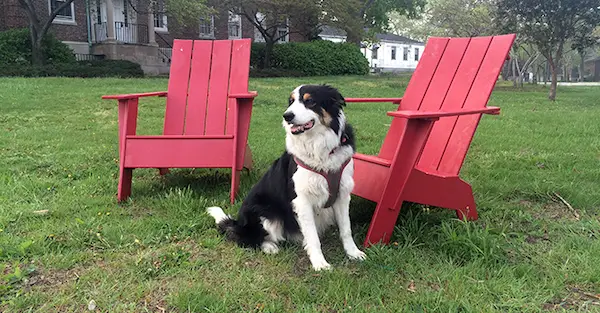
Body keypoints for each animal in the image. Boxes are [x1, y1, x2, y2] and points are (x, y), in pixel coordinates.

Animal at [206, 84, 366, 270]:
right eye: (291, 101)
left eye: (310, 101)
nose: (287, 116)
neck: (319, 148)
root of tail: (239, 224)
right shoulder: (302, 200)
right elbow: (313, 237)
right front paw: (319, 263)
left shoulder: (342, 194)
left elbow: (346, 229)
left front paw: (353, 253)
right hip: (265, 213)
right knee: (248, 239)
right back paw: (269, 247)